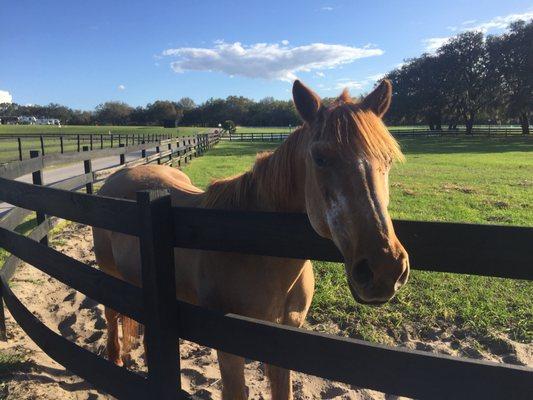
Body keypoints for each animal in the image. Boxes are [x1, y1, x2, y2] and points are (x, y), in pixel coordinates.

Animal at [92, 79, 408, 398]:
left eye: (388, 160)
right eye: (320, 158)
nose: (385, 269)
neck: (254, 247)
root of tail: (119, 176)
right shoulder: (229, 349)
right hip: (108, 271)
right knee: (110, 313)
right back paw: (115, 359)